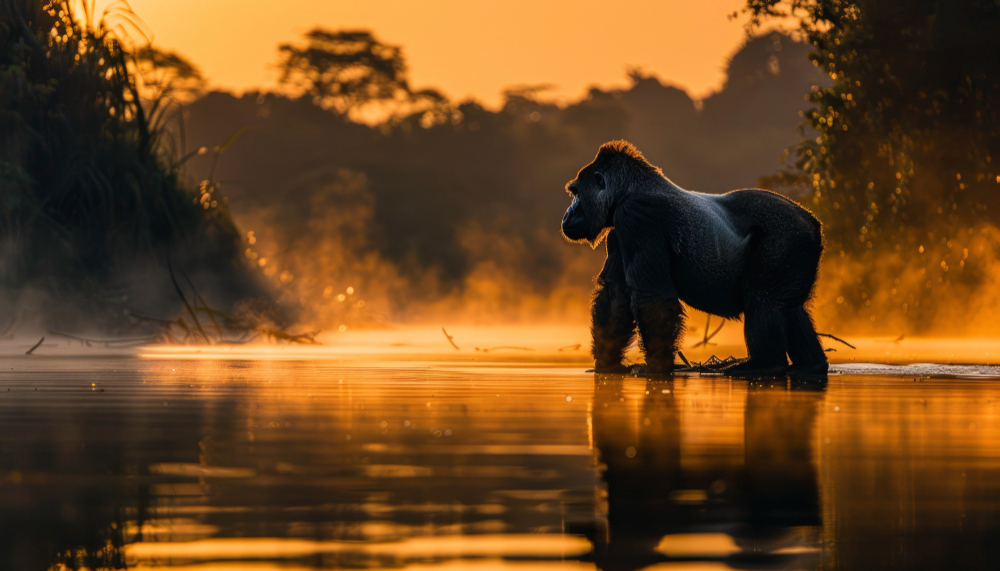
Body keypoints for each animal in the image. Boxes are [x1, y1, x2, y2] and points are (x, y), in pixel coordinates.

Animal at [561, 140, 827, 377]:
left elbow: (653, 296)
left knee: (763, 301)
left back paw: (765, 366)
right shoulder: (619, 230)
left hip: (787, 236)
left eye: (576, 193)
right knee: (790, 308)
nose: (567, 215)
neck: (629, 187)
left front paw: (657, 366)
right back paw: (811, 365)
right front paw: (608, 363)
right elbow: (615, 295)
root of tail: (813, 222)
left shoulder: (636, 216)